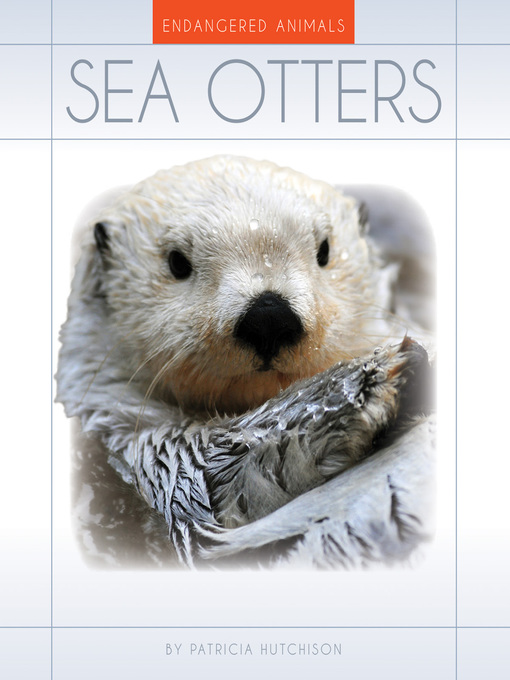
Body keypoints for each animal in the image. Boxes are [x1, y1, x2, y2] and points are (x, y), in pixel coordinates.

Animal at [57, 156, 434, 568]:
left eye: (324, 250)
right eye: (177, 262)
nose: (269, 316)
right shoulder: (150, 450)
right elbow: (224, 473)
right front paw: (370, 381)